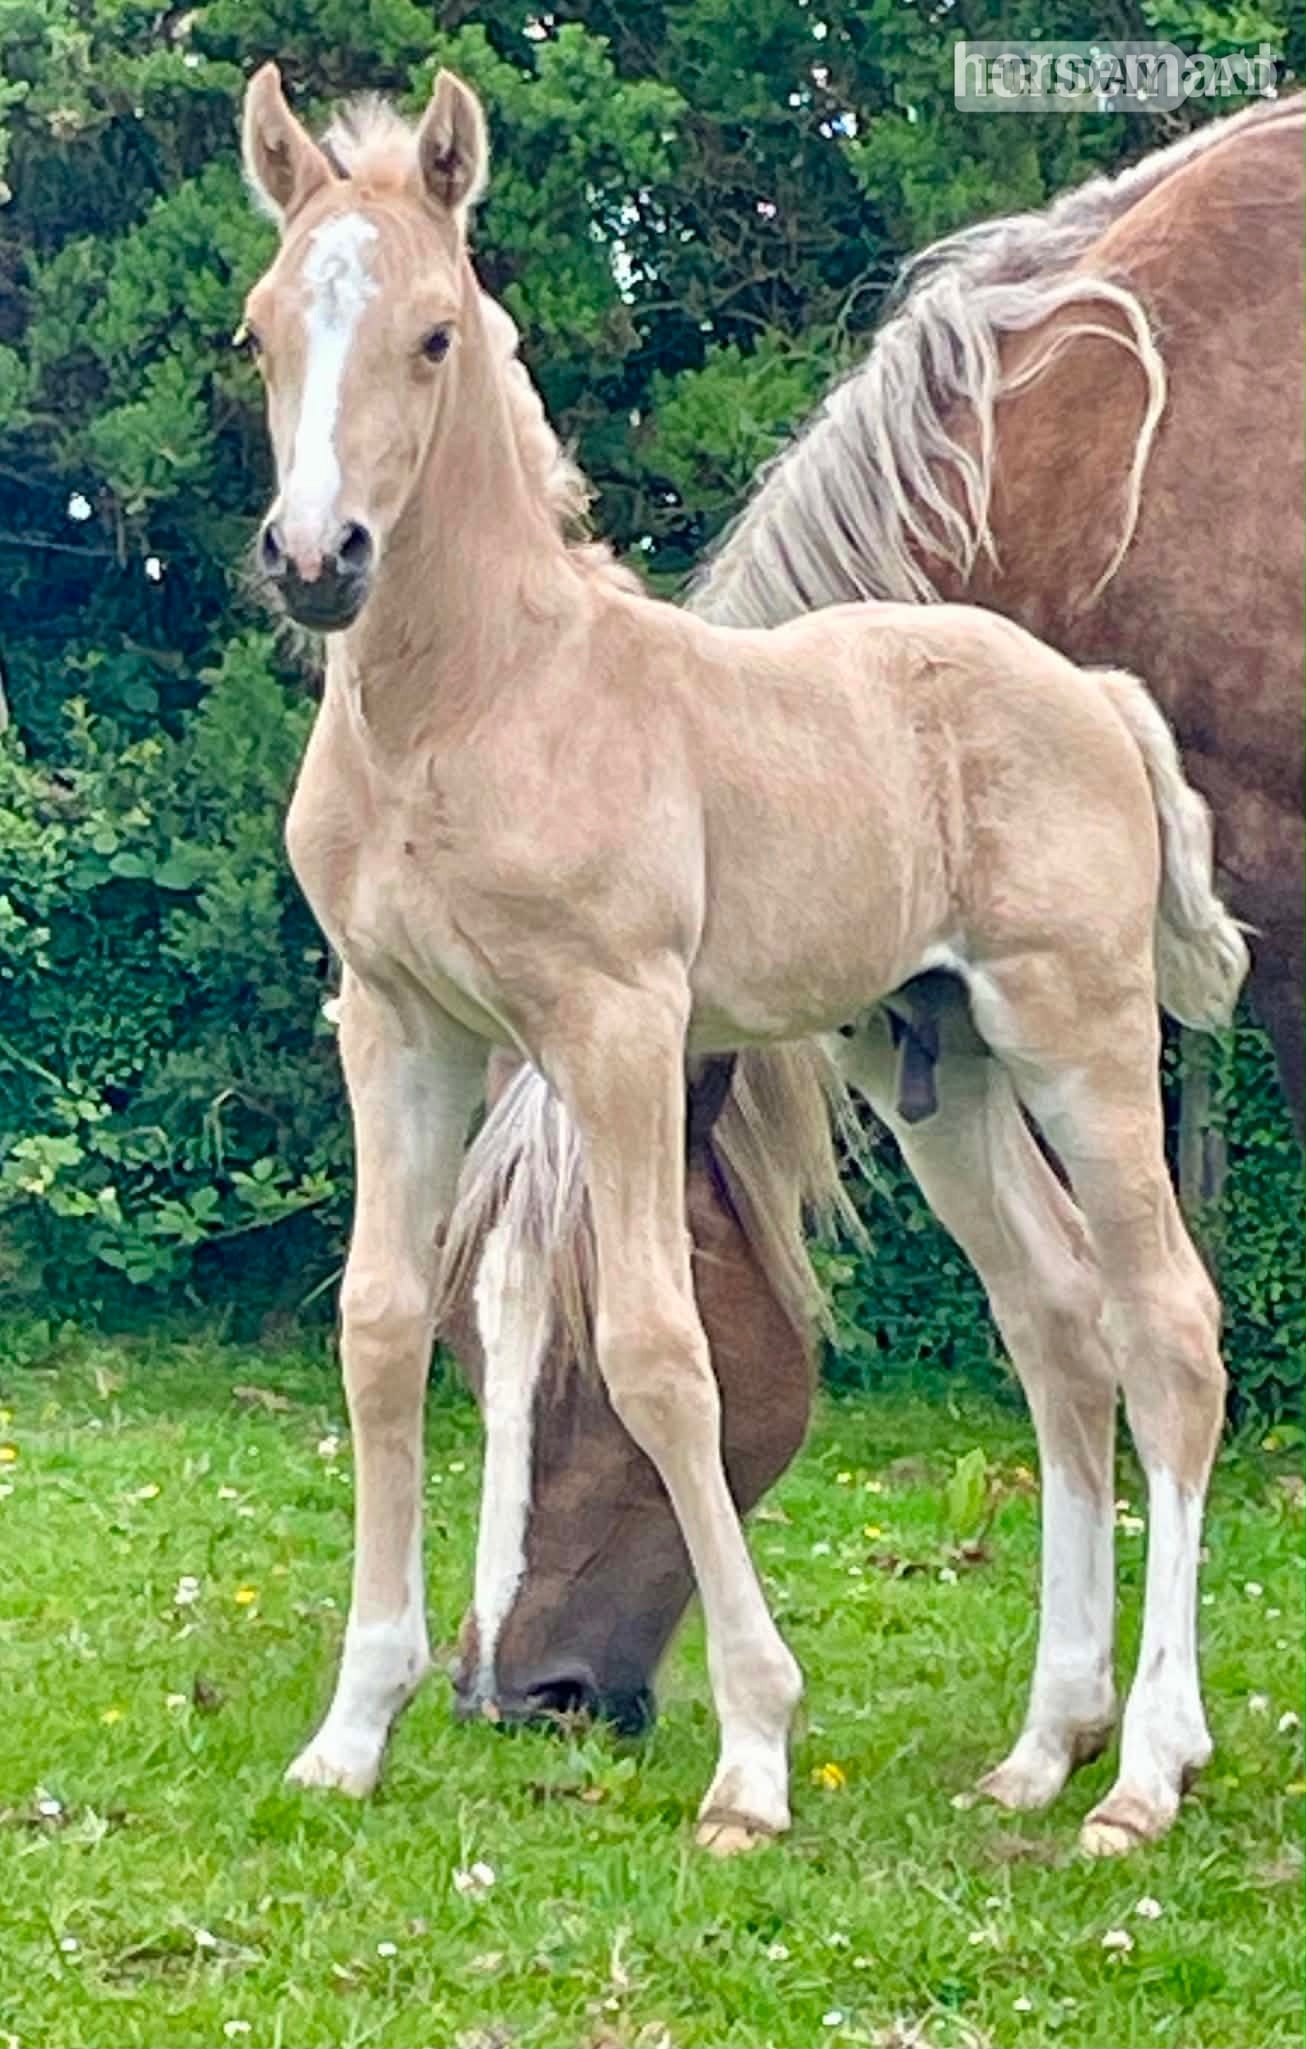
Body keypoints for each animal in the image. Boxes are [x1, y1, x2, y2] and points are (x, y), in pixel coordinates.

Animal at [238, 63, 1247, 1856]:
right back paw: (1038, 1747)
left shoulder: (618, 1023)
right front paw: (349, 1734)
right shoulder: (399, 1023)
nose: (313, 559)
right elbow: (371, 1320)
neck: (476, 698)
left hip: (1078, 1027)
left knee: (1166, 1334)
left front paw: (754, 1756)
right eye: (263, 331)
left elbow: (668, 1350)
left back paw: (1141, 1771)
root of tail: (1091, 694)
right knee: (1057, 1325)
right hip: (937, 1064)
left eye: (434, 334)